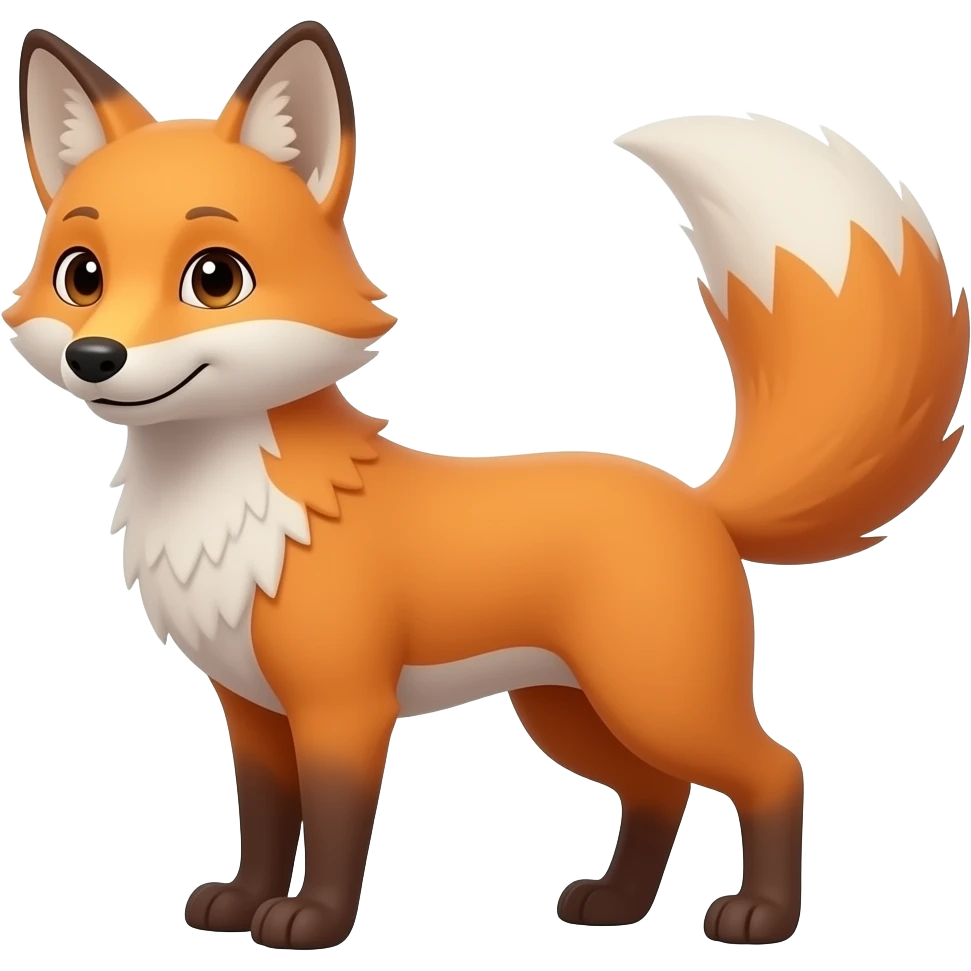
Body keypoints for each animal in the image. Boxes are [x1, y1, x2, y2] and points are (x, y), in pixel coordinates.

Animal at [6, 21, 968, 951]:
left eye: (214, 277)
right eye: (81, 274)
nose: (97, 357)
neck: (233, 507)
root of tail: (698, 502)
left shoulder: (343, 704)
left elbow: (336, 826)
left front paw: (310, 922)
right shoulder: (250, 708)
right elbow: (269, 819)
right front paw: (242, 902)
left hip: (657, 698)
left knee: (774, 769)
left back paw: (759, 917)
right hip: (569, 713)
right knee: (657, 792)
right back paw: (616, 903)